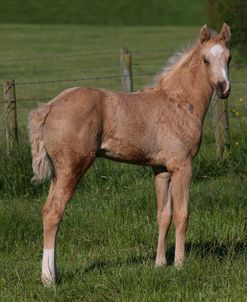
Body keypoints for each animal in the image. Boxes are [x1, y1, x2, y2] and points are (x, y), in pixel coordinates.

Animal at [29, 24, 232, 286]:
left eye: (229, 58)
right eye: (205, 59)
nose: (223, 88)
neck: (179, 102)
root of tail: (49, 107)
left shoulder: (161, 169)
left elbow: (163, 215)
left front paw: (160, 264)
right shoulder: (182, 166)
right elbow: (182, 214)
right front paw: (179, 265)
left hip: (58, 171)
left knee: (47, 210)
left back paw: (53, 273)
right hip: (72, 167)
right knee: (54, 212)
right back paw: (48, 279)